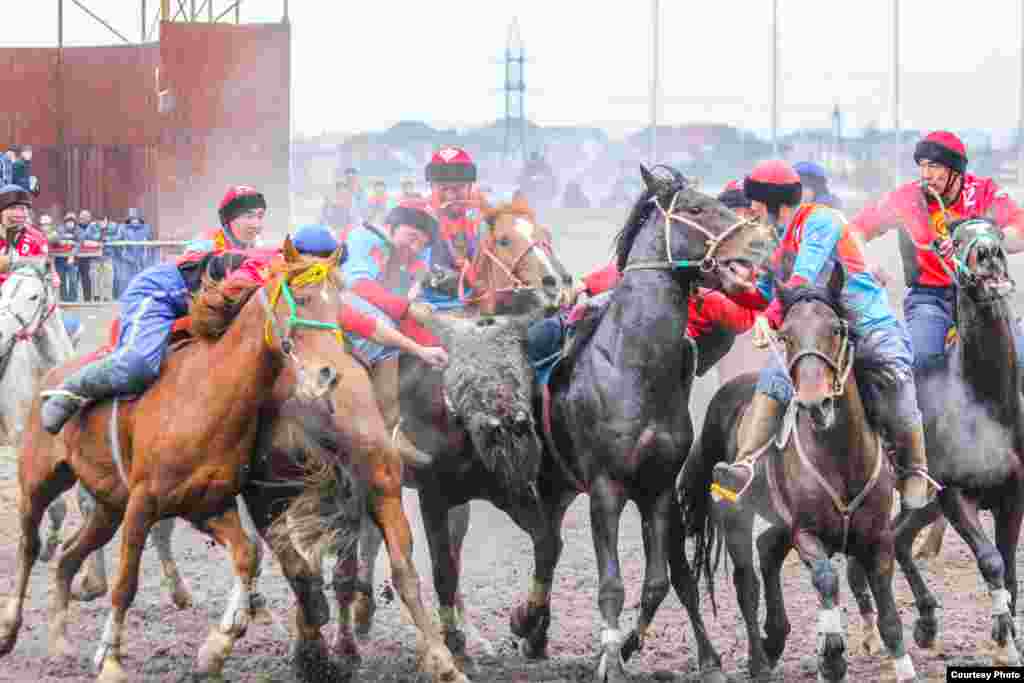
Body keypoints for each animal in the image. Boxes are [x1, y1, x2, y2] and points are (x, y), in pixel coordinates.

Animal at [679, 274, 921, 683]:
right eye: (786, 335)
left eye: (836, 329)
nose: (815, 402)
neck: (841, 460)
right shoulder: (806, 533)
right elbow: (825, 578)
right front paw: (832, 656)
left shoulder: (878, 538)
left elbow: (889, 615)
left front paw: (903, 667)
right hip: (736, 513)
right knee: (747, 583)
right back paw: (759, 661)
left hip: (779, 522)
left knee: (767, 550)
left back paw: (775, 638)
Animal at [843, 219, 1024, 667]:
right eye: (956, 242)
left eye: (994, 229)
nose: (989, 252)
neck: (983, 404)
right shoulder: (956, 495)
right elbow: (991, 561)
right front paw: (1003, 640)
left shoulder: (1013, 495)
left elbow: (1010, 565)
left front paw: (1006, 631)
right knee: (873, 552)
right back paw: (874, 631)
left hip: (920, 501)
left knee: (900, 540)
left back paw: (925, 622)